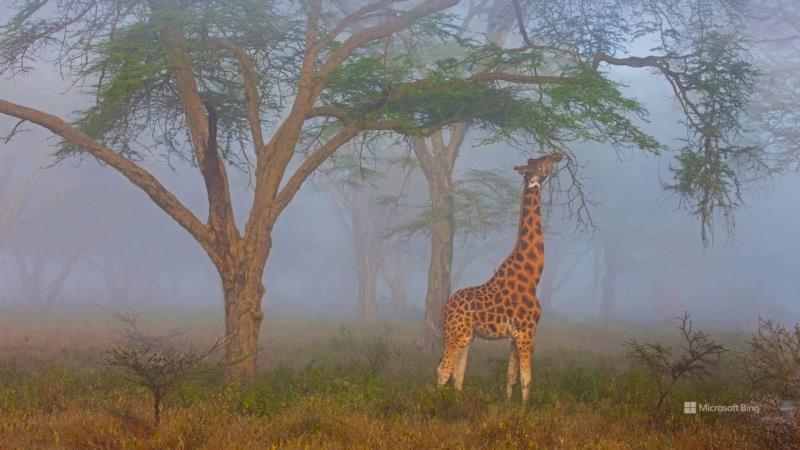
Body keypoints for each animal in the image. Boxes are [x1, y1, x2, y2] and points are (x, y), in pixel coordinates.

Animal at [438, 154, 564, 404]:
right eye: (543, 161)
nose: (559, 154)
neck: (533, 276)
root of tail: (446, 308)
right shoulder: (526, 330)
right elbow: (526, 379)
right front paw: (525, 410)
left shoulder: (514, 336)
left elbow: (511, 377)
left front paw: (508, 405)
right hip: (457, 334)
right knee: (443, 370)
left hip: (467, 336)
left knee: (458, 373)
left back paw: (457, 403)